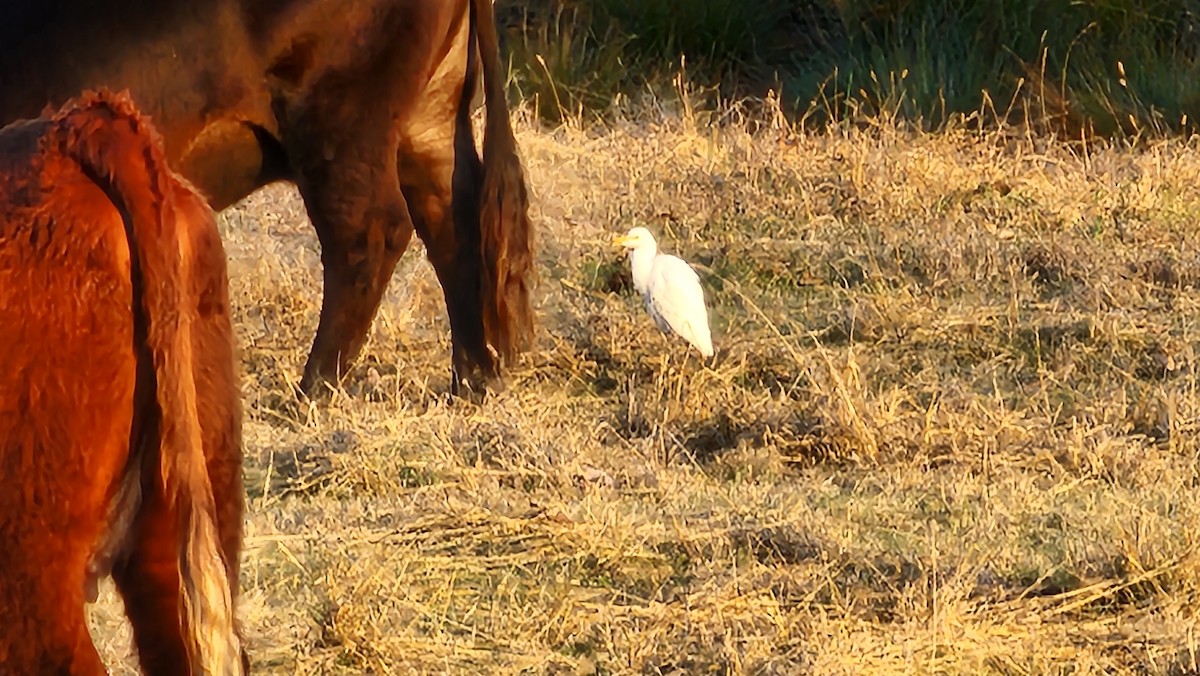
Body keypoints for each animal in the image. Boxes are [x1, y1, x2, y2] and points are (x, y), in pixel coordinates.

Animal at [0, 0, 536, 401]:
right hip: (427, 119)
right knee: (452, 227)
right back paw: (472, 379)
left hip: (341, 123)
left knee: (369, 236)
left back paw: (313, 389)